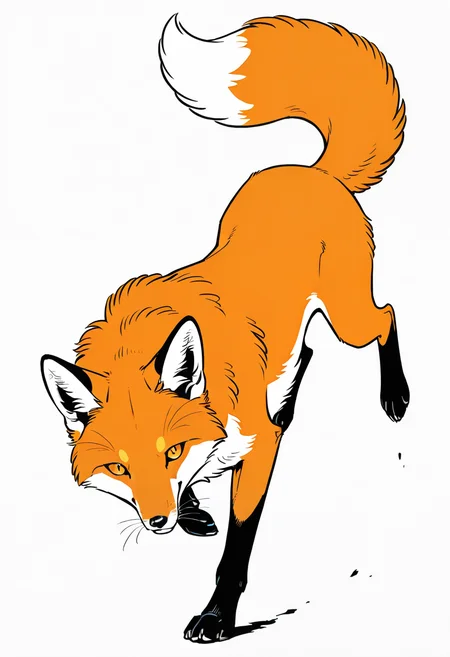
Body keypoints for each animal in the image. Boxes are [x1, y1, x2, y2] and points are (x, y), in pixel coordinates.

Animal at [41, 14, 409, 643]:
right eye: (119, 467)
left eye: (169, 451)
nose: (157, 520)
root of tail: (312, 173)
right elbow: (203, 482)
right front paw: (193, 512)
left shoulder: (254, 453)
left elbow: (236, 548)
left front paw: (217, 615)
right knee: (303, 360)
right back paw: (288, 409)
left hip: (350, 319)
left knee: (387, 316)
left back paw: (395, 395)